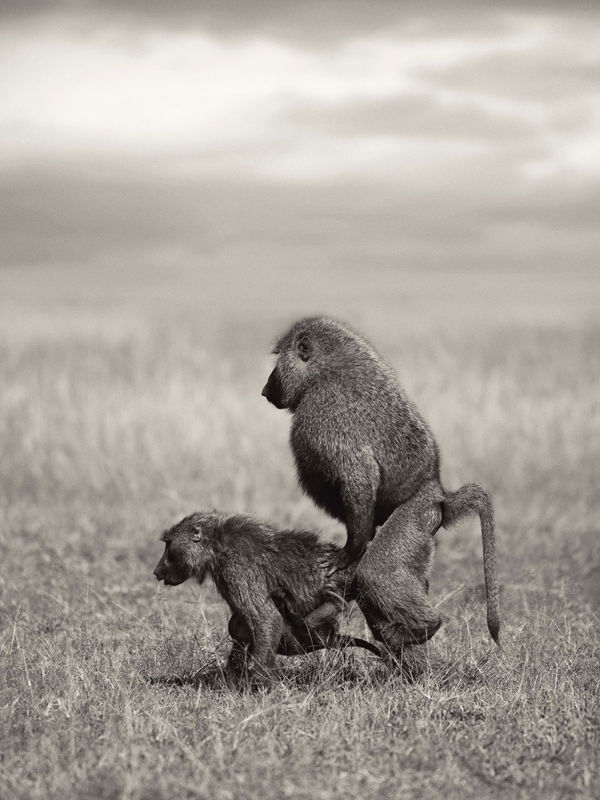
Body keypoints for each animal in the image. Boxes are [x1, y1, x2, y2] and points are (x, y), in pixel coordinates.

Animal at [152, 511, 382, 687]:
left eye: (168, 546)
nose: (156, 571)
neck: (217, 545)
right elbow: (242, 627)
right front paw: (230, 683)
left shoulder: (236, 567)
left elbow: (267, 619)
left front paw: (261, 686)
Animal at [262, 316, 499, 647]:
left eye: (278, 361)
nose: (264, 390)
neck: (323, 371)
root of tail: (439, 492)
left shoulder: (323, 415)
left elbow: (359, 476)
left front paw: (350, 551)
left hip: (415, 514)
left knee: (378, 571)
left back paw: (427, 626)